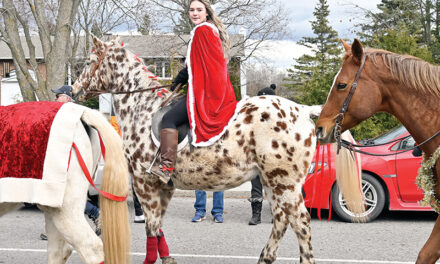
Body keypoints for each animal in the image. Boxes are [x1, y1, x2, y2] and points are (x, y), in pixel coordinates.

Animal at [72, 36, 362, 264]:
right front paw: (167, 258)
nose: (74, 90)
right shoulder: (163, 186)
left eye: (87, 62)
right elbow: (158, 228)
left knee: (300, 223)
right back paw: (264, 258)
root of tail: (302, 109)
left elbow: (152, 228)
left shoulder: (145, 182)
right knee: (282, 220)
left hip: (284, 183)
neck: (142, 107)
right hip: (274, 183)